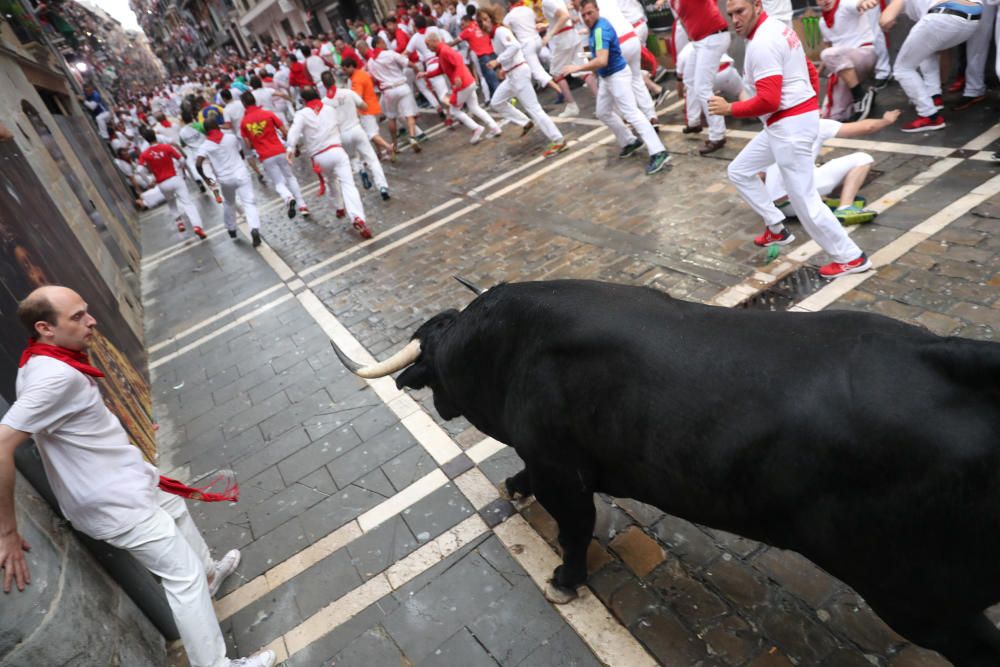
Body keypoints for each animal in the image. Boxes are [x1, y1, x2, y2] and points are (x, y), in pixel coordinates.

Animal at [334, 278, 1000, 667]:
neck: (506, 348)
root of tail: (944, 354)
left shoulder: (563, 471)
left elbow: (575, 529)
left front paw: (568, 578)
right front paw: (515, 487)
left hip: (920, 602)